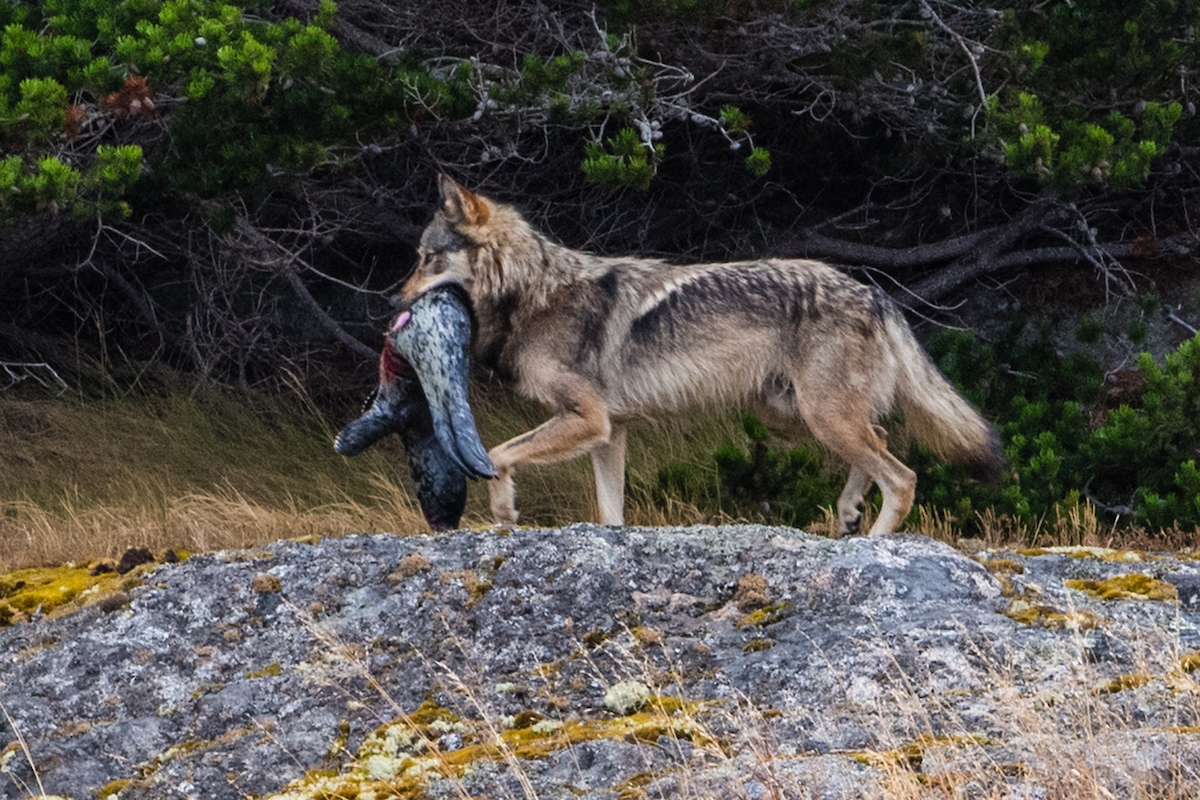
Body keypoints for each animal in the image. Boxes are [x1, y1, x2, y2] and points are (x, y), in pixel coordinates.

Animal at [396, 176, 1003, 537]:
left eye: (426, 261)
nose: (395, 302)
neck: (531, 292)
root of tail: (874, 292)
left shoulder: (586, 419)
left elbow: (498, 454)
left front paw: (502, 512)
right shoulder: (609, 431)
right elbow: (610, 513)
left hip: (819, 418)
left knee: (902, 476)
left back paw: (874, 542)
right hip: (795, 418)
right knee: (880, 440)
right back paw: (850, 511)